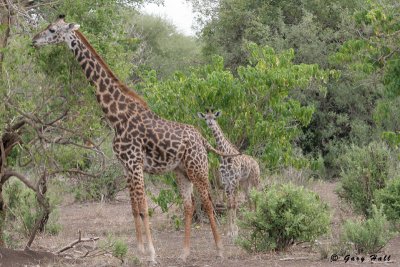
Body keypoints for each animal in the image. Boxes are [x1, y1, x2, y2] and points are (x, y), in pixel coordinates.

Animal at [33, 15, 238, 264]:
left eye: (52, 30)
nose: (34, 40)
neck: (116, 117)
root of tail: (202, 138)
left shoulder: (135, 162)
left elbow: (143, 208)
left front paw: (151, 254)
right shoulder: (126, 166)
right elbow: (133, 208)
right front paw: (139, 251)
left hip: (198, 168)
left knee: (208, 202)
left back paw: (220, 249)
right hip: (180, 171)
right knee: (189, 205)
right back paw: (184, 253)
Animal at [198, 110, 260, 238]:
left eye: (214, 118)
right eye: (206, 118)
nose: (210, 123)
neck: (225, 154)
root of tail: (256, 163)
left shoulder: (234, 181)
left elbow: (234, 204)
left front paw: (234, 230)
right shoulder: (226, 182)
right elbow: (228, 205)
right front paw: (228, 231)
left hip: (255, 179)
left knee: (258, 195)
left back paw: (257, 217)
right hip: (245, 183)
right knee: (250, 197)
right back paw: (251, 218)